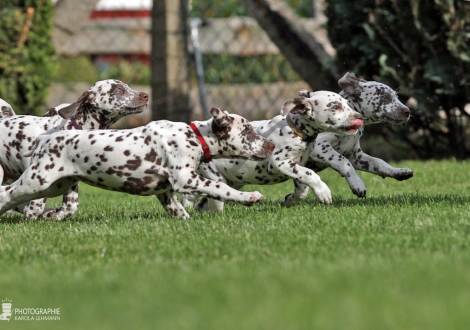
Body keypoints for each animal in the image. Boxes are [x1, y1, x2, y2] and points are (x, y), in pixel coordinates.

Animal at [0, 80, 148, 218]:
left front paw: (54, 214)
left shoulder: (71, 180)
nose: (146, 95)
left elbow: (70, 207)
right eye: (119, 90)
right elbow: (34, 208)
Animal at [0, 108, 276, 220]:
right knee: (6, 193)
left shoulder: (166, 191)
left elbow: (180, 211)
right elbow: (221, 189)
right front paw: (249, 197)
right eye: (248, 131)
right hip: (37, 181)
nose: (271, 146)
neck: (194, 136)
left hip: (53, 186)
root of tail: (45, 139)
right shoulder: (186, 179)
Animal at [183, 90, 364, 211]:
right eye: (336, 106)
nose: (359, 117)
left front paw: (289, 200)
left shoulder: (298, 165)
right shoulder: (280, 163)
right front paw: (323, 192)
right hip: (214, 175)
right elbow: (311, 174)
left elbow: (302, 188)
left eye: (347, 104)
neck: (296, 131)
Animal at [280, 73, 414, 205]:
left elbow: (378, 162)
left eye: (396, 96)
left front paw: (397, 171)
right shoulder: (320, 146)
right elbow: (343, 162)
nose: (407, 111)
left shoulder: (356, 156)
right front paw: (357, 183)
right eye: (385, 97)